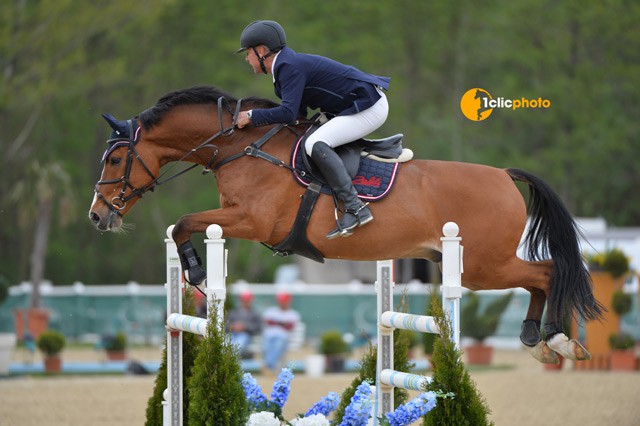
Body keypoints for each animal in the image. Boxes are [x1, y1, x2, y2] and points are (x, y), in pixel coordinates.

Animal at [90, 85, 604, 364]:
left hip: (480, 266)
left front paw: (196, 271)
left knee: (547, 273)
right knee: (541, 276)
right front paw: (192, 271)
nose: (98, 215)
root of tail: (502, 174)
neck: (241, 148)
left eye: (115, 158)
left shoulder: (251, 222)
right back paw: (538, 341)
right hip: (476, 264)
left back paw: (557, 341)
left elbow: (183, 223)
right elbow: (182, 225)